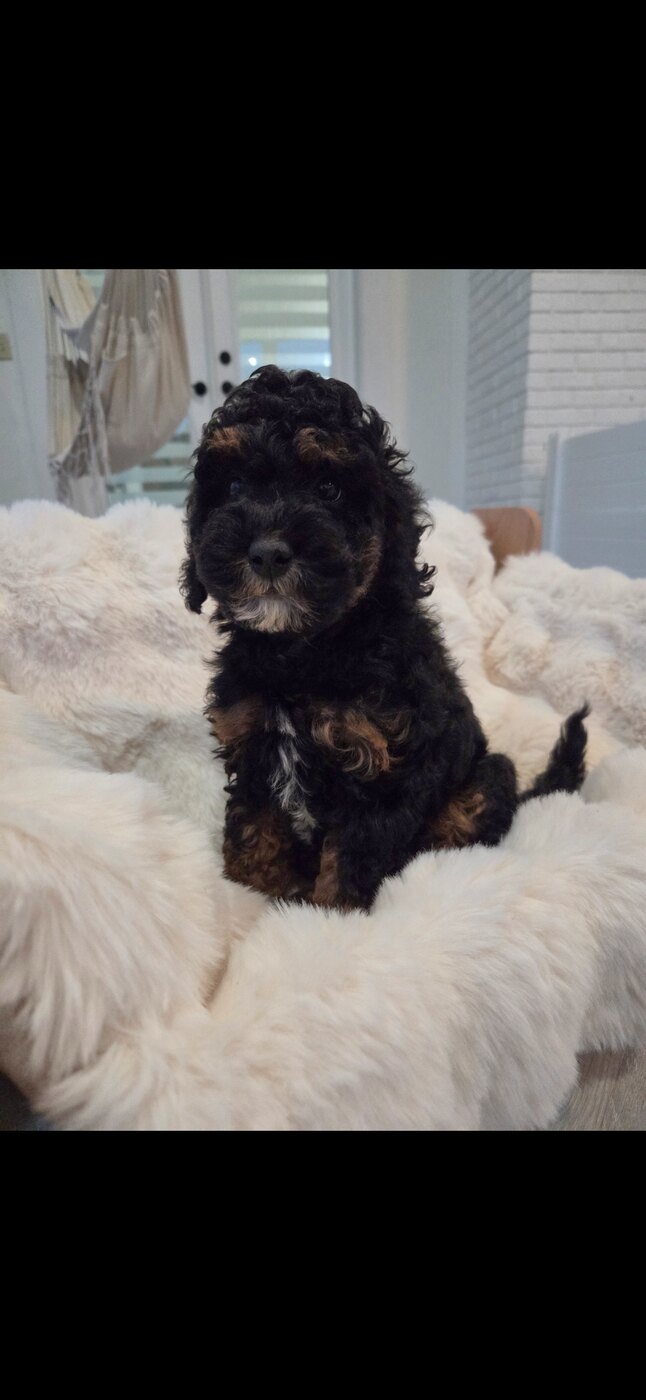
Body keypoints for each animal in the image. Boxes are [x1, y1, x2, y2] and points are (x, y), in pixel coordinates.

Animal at [181, 366, 588, 911]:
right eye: (234, 485)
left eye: (329, 489)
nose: (267, 552)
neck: (303, 652)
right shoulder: (251, 744)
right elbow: (255, 828)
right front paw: (251, 895)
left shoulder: (383, 764)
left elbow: (353, 855)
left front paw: (326, 918)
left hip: (486, 775)